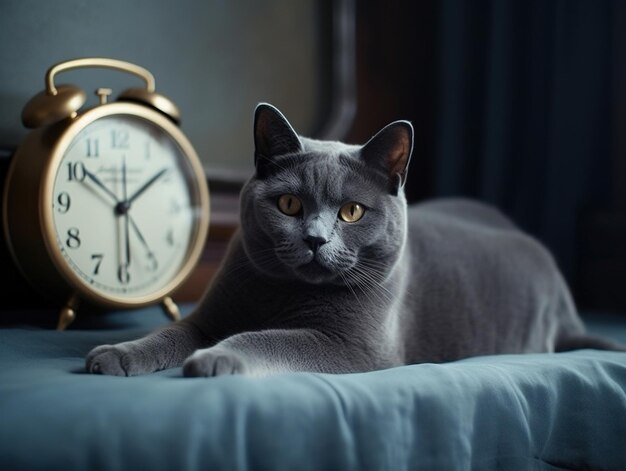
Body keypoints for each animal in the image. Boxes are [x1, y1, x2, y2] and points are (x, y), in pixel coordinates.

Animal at [85, 104, 620, 380]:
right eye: (289, 205)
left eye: (352, 212)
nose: (316, 239)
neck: (282, 293)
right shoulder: (209, 315)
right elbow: (170, 333)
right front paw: (116, 354)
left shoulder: (352, 348)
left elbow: (267, 338)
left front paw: (216, 358)